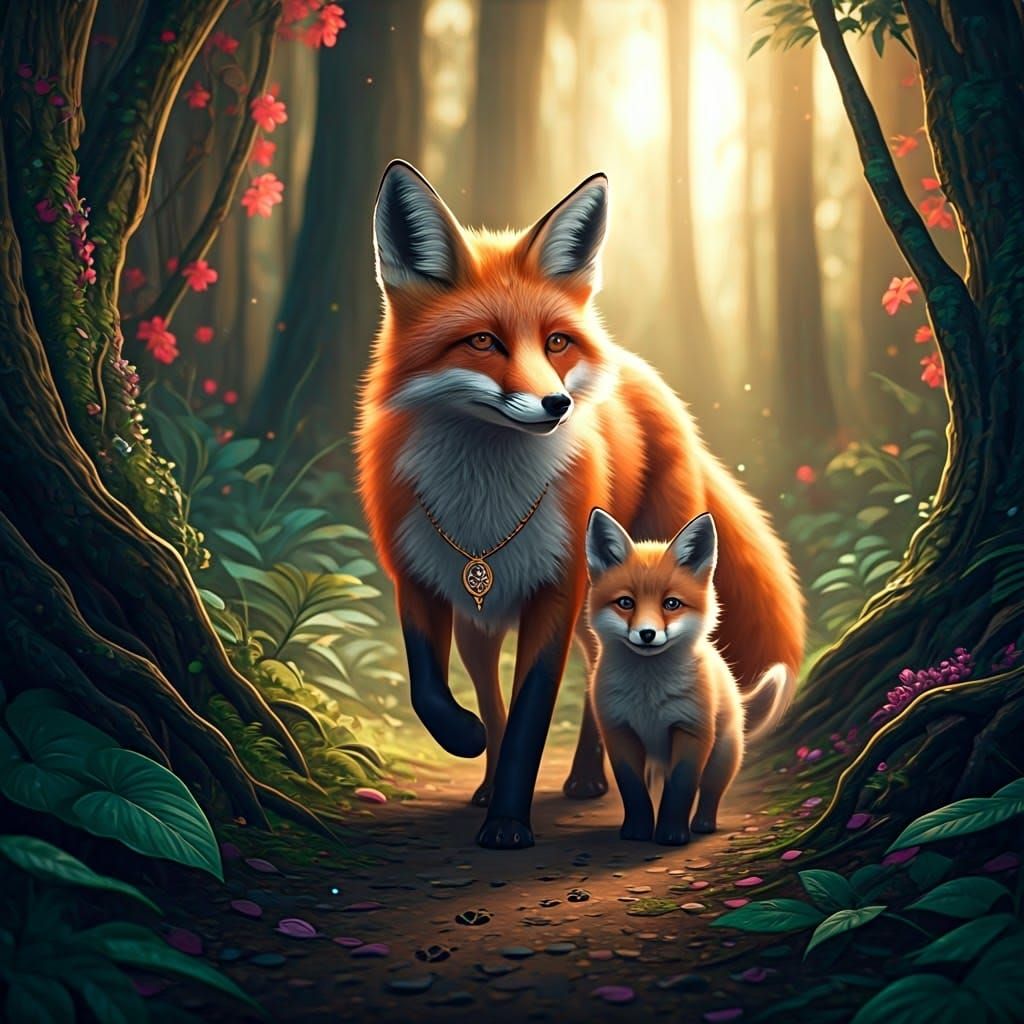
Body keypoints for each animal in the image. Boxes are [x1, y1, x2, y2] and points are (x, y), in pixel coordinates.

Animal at [586, 509, 795, 845]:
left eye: (671, 603)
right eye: (626, 603)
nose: (647, 634)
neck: (648, 695)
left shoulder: (691, 730)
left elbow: (680, 789)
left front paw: (672, 833)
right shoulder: (619, 732)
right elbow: (633, 791)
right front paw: (638, 831)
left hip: (723, 757)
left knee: (710, 791)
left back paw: (703, 823)